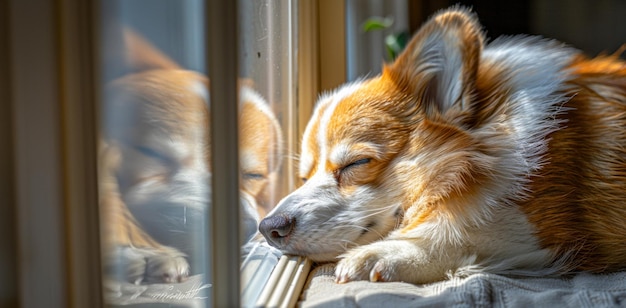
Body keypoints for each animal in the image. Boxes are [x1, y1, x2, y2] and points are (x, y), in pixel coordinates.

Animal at [258, 6, 624, 284]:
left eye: (355, 164)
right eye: (303, 177)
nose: (268, 228)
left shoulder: (545, 229)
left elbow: (464, 230)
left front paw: (388, 253)